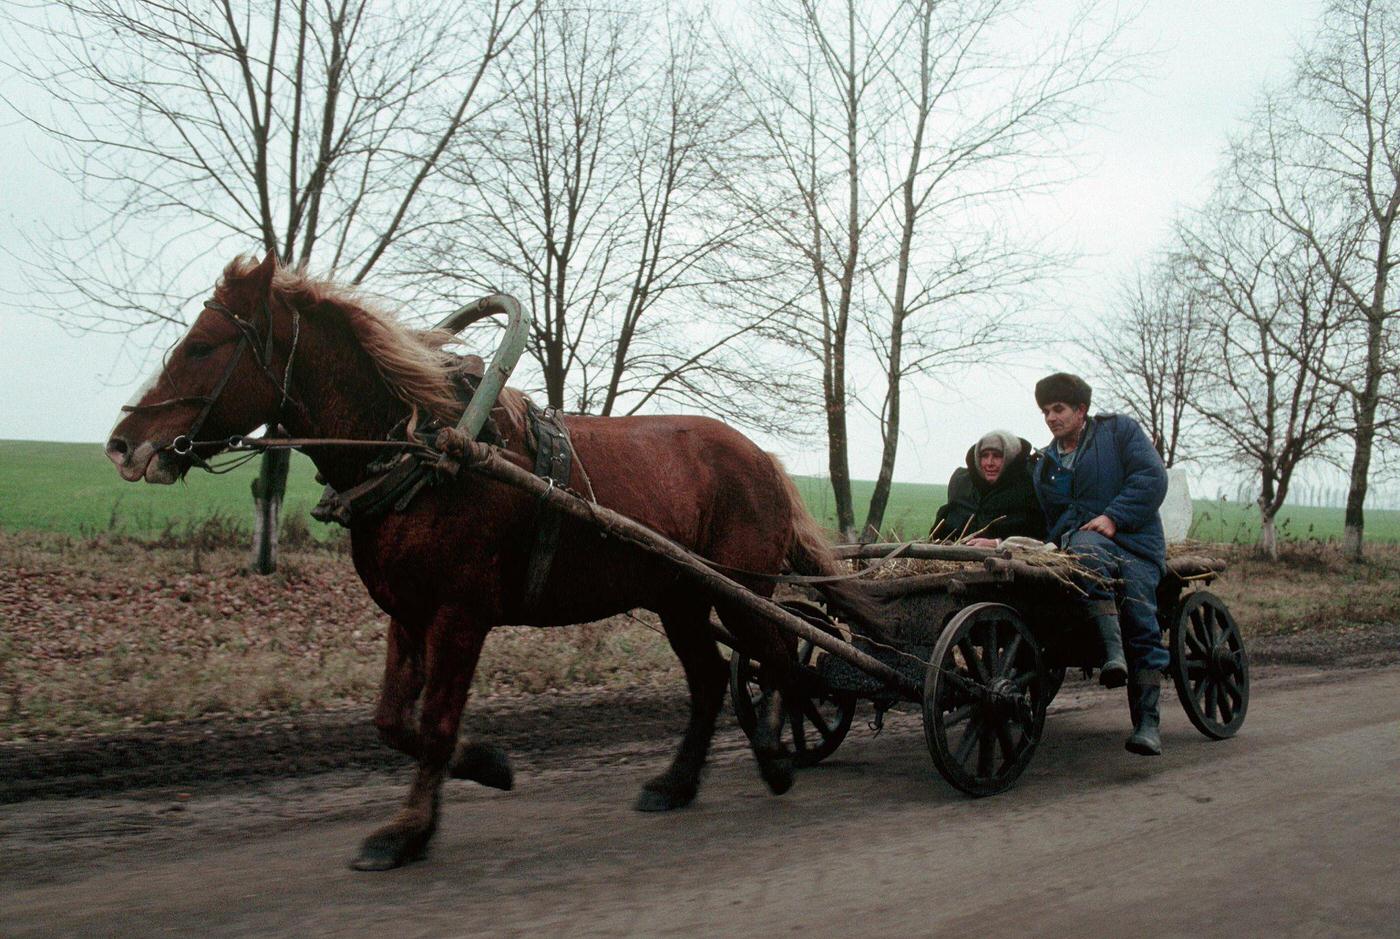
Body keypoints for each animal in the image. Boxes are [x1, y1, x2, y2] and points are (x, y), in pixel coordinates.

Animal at [106, 253, 873, 873]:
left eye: (202, 346)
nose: (122, 443)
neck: (424, 452)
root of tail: (762, 457)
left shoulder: (460, 614)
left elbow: (437, 722)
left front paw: (409, 829)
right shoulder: (407, 612)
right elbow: (395, 721)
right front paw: (483, 768)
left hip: (740, 589)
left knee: (781, 658)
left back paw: (776, 755)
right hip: (679, 596)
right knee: (716, 678)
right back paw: (678, 783)